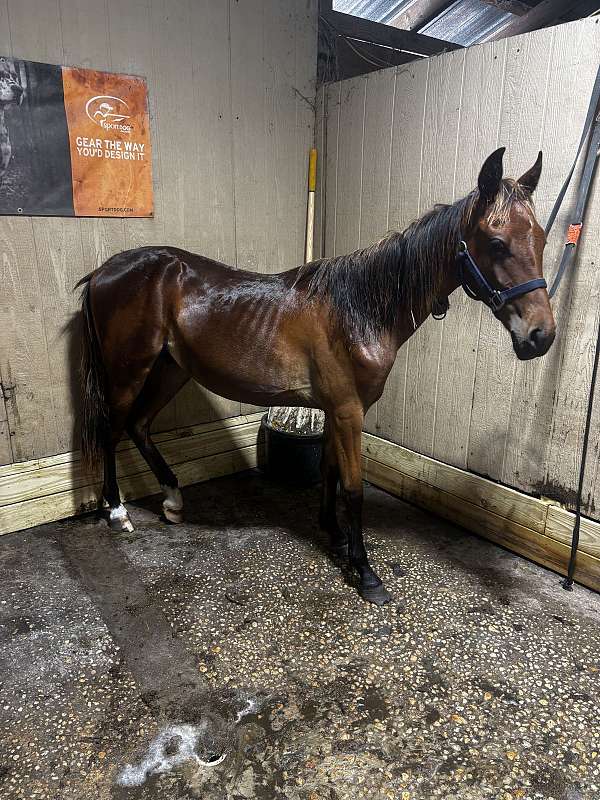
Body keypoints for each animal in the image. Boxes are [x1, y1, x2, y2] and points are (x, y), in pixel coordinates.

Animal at [77, 147, 555, 605]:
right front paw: (365, 573)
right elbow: (353, 488)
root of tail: (104, 271)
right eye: (496, 243)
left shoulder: (333, 410)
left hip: (170, 369)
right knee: (112, 430)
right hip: (127, 372)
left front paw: (335, 536)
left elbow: (328, 472)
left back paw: (174, 501)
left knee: (139, 426)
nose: (541, 335)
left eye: (541, 238)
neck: (359, 312)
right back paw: (117, 513)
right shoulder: (348, 412)